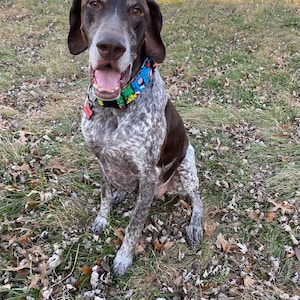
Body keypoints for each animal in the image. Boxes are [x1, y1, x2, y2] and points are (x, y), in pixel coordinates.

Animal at [68, 0, 204, 276]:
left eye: (136, 10)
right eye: (94, 4)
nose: (111, 46)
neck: (114, 108)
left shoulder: (148, 174)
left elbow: (134, 225)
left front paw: (123, 258)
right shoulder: (101, 159)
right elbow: (105, 194)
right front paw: (102, 218)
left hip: (187, 167)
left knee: (197, 200)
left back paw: (195, 225)